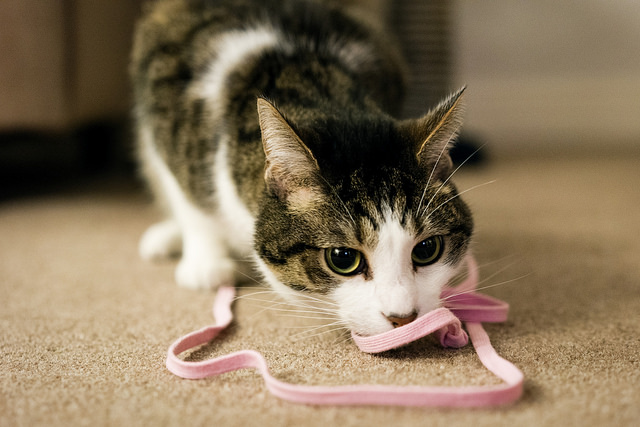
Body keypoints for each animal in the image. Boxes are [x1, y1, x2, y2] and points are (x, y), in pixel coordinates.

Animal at [130, 0, 472, 338]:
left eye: (427, 249)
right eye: (343, 258)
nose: (404, 318)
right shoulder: (168, 123)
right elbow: (191, 203)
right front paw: (206, 264)